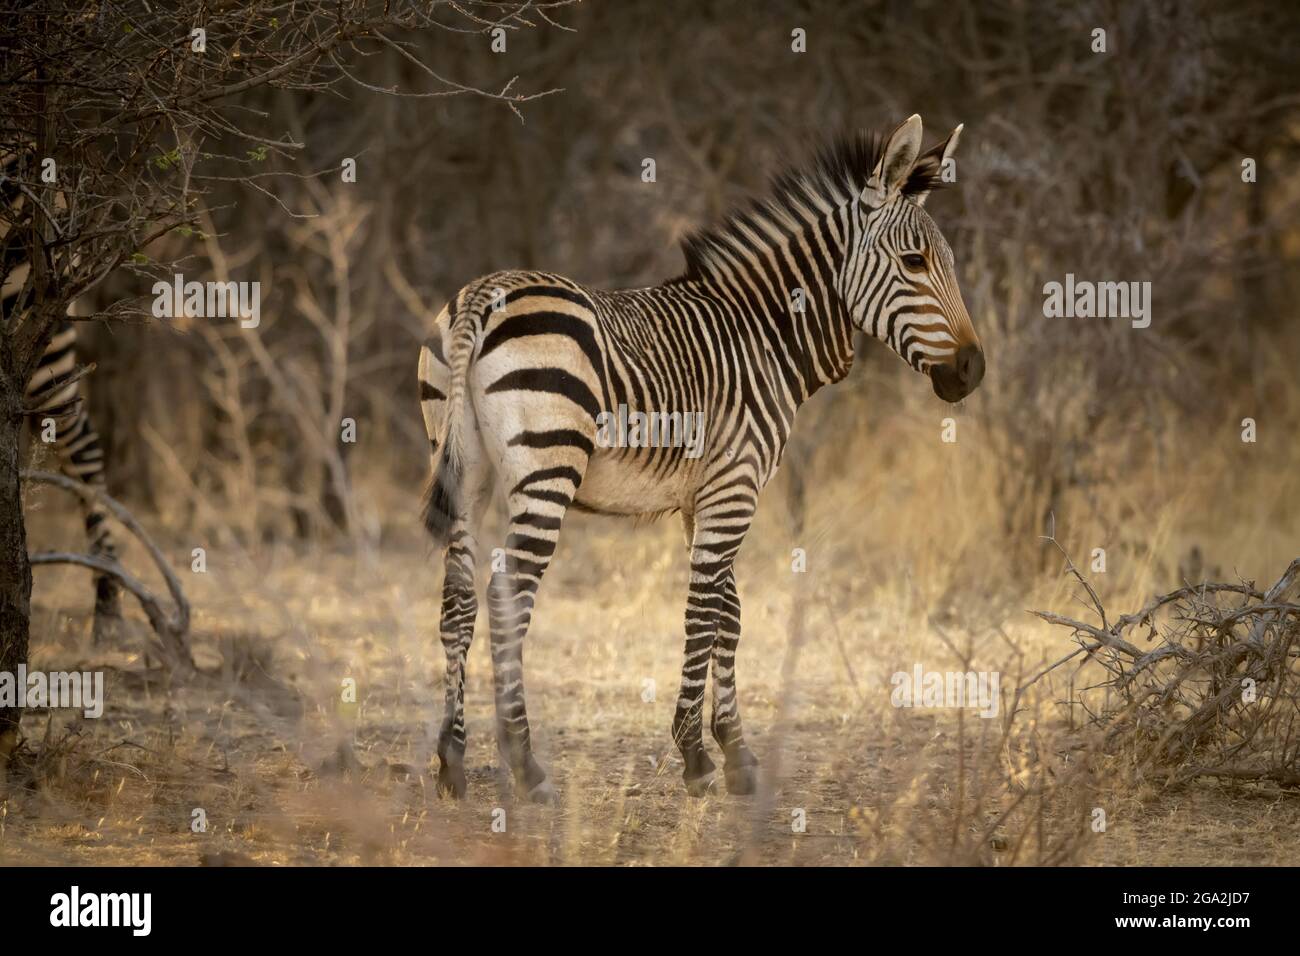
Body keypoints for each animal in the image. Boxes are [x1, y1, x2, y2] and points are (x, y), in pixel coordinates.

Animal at [417, 115, 984, 801]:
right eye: (914, 262)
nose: (973, 369)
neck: (766, 334)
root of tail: (480, 295)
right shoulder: (735, 485)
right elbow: (704, 611)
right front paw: (696, 756)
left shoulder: (703, 495)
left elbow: (730, 615)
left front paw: (736, 752)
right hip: (547, 471)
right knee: (507, 599)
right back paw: (526, 765)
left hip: (466, 469)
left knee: (457, 601)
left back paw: (451, 761)